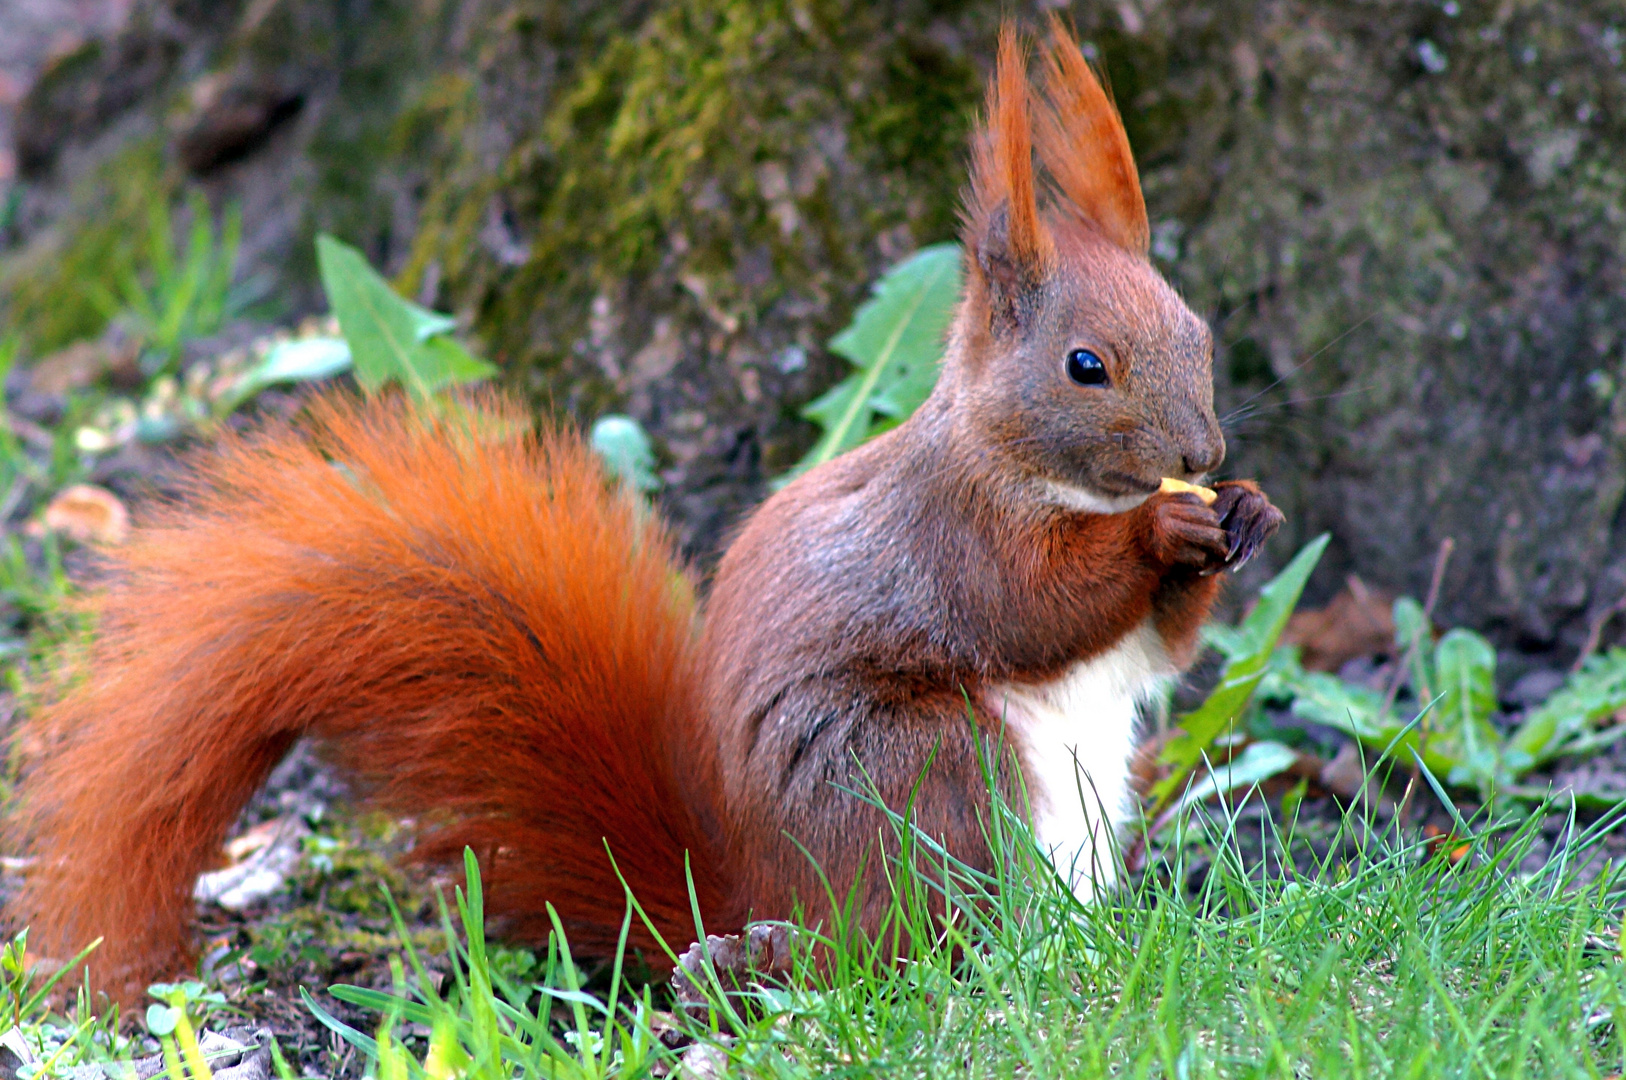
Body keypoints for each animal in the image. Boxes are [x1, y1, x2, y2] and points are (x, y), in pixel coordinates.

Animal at [12, 23, 1281, 1001]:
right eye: (1085, 366)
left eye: (1199, 330)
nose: (1201, 453)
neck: (1026, 466)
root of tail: (755, 893)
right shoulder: (949, 534)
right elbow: (1032, 604)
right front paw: (1162, 531)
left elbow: (1161, 652)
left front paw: (1246, 514)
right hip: (922, 766)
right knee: (909, 940)